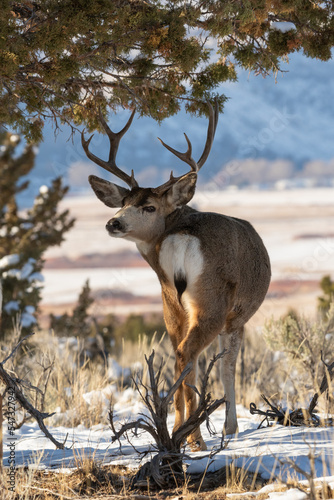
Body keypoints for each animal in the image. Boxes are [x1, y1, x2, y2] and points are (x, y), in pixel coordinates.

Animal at [82, 103, 270, 452]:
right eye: (125, 203)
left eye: (149, 207)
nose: (113, 222)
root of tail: (183, 238)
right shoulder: (237, 317)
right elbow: (228, 367)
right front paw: (231, 427)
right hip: (212, 299)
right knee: (189, 354)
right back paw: (195, 437)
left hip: (169, 300)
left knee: (179, 357)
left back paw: (179, 431)